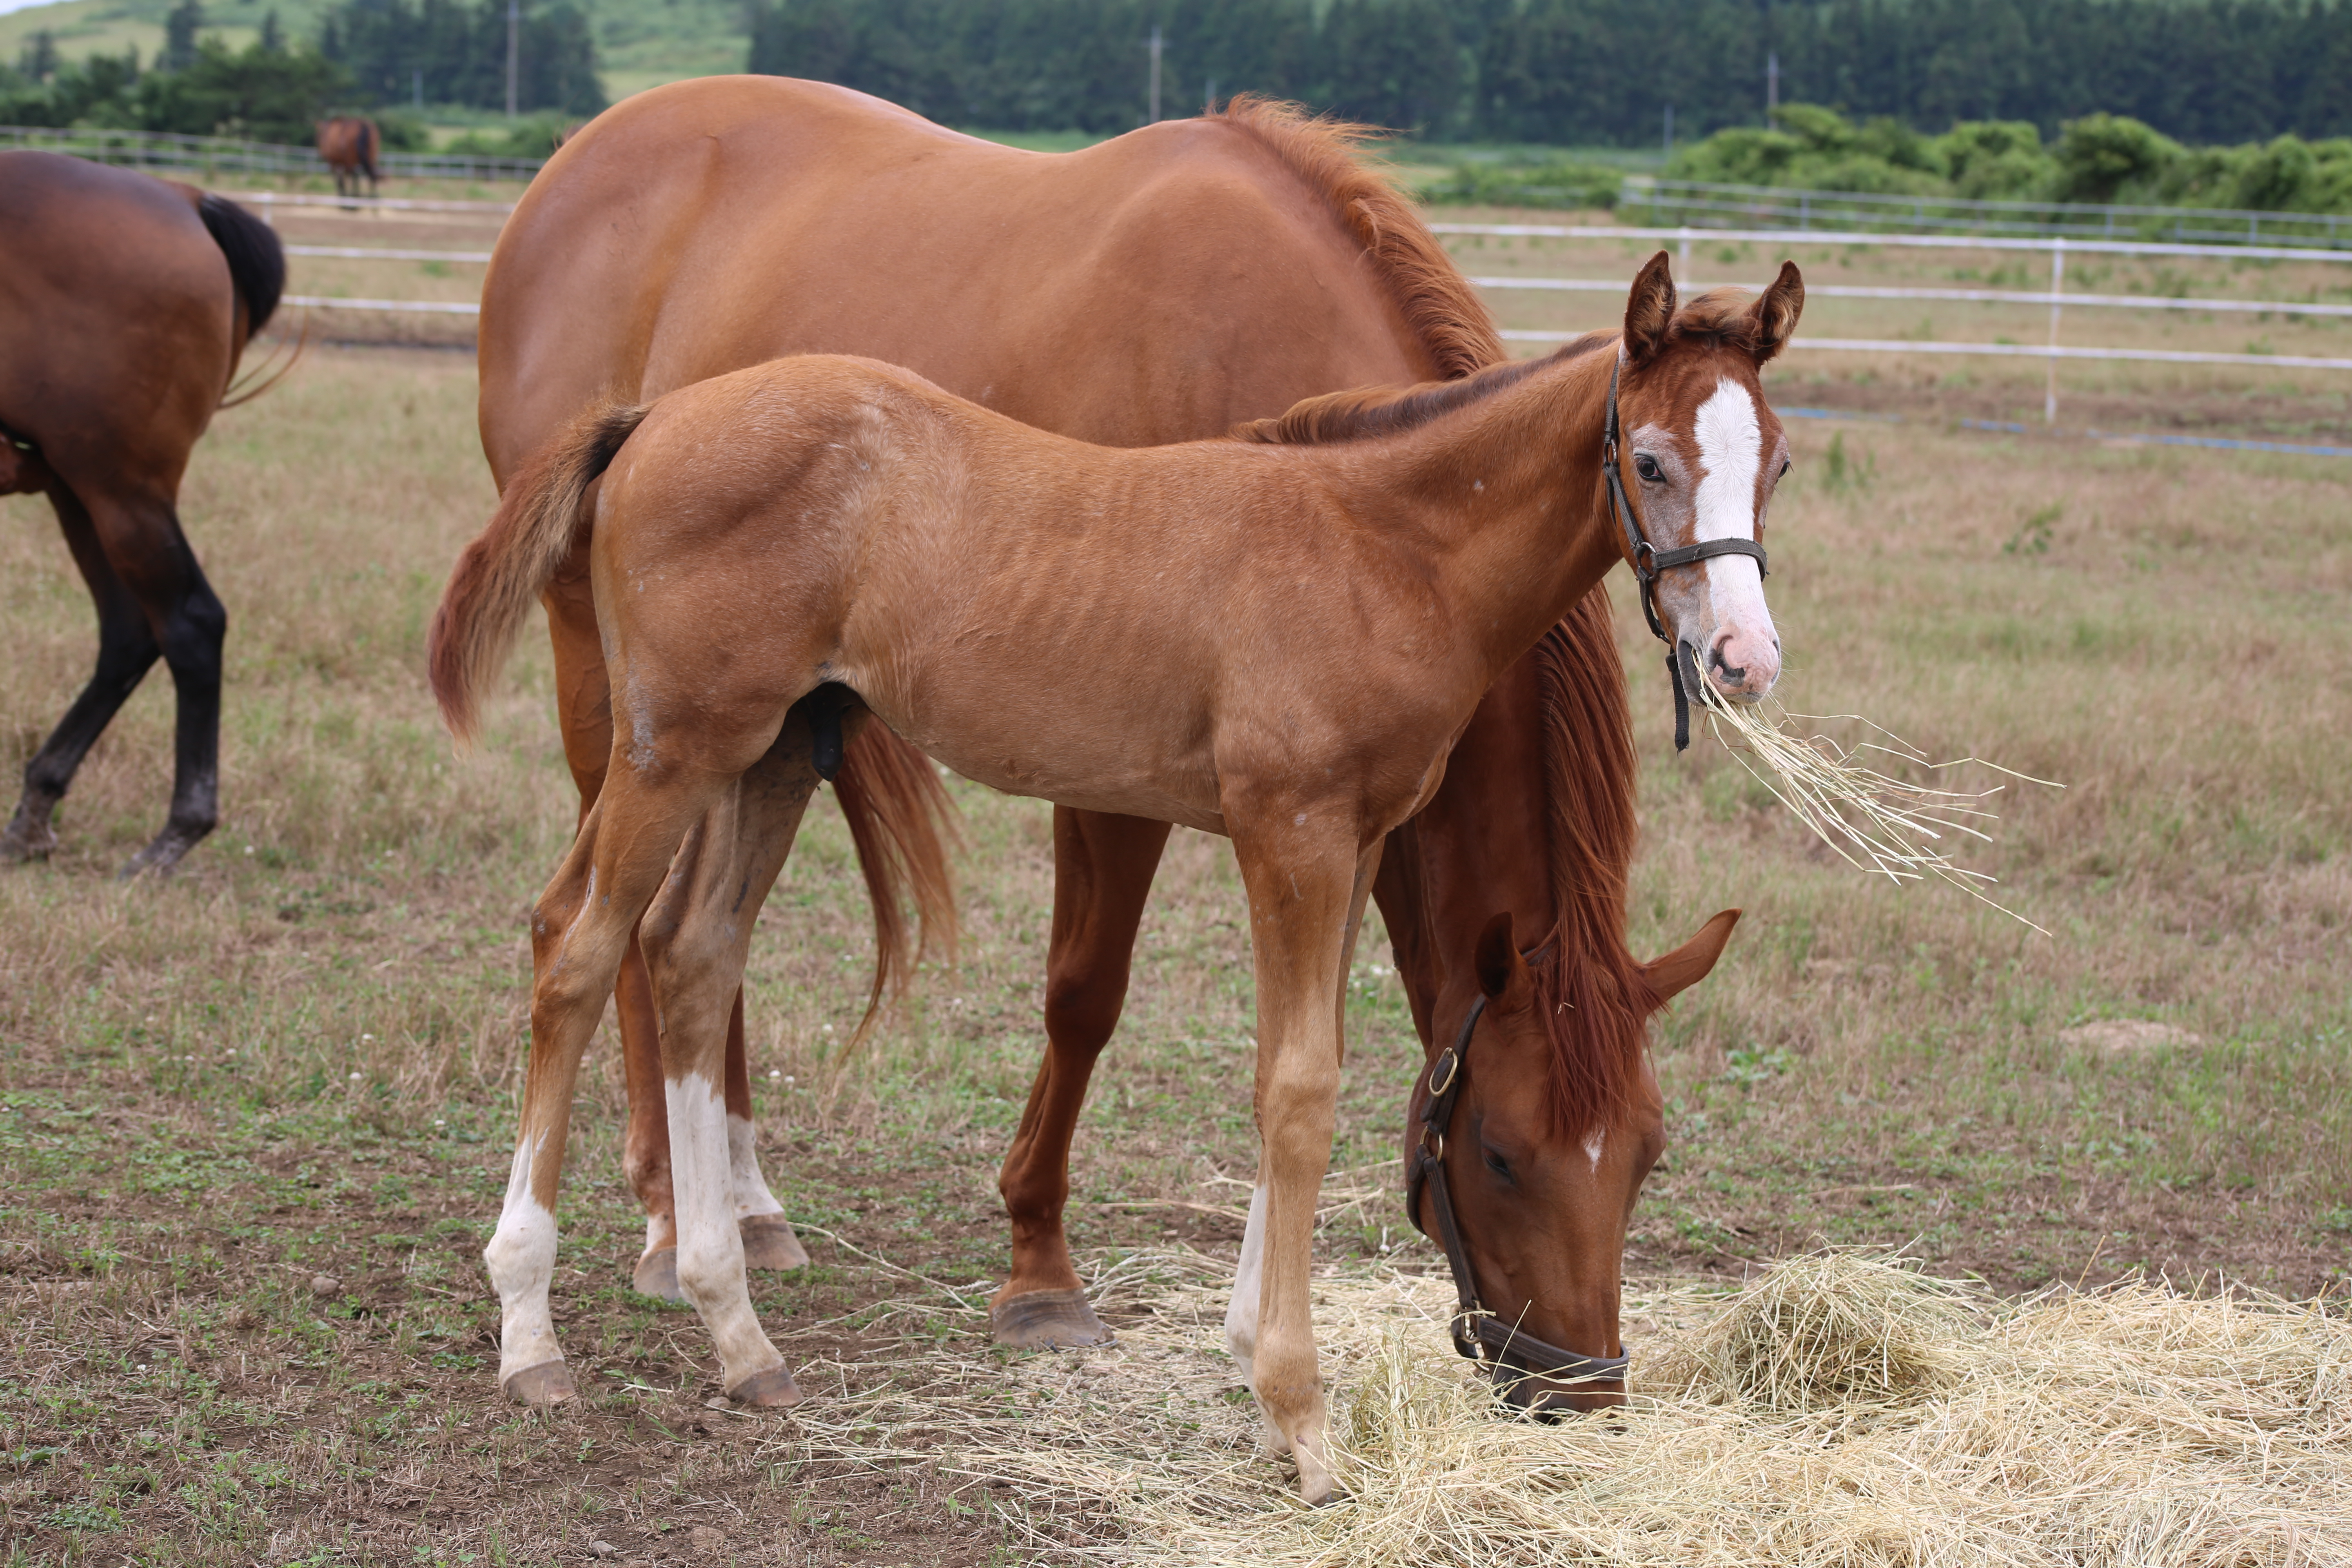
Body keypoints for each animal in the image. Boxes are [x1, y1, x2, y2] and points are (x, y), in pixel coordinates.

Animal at [0, 153, 287, 879]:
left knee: (189, 623)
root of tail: (184, 199)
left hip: (120, 491)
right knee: (130, 632)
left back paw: (177, 833)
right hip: (80, 490)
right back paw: (35, 809)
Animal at [315, 118, 379, 200]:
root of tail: (362, 125)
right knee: (371, 173)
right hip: (371, 157)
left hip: (350, 159)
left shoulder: (334, 162)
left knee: (353, 174)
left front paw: (343, 194)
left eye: (319, 136)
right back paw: (372, 196)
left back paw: (353, 196)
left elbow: (339, 179)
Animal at [468, 80, 1740, 1420]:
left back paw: (743, 1225)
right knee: (593, 938)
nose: (1579, 1390)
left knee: (689, 944)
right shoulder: (1125, 784)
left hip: (767, 741)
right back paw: (638, 1243)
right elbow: (1087, 997)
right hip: (624, 711)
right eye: (1500, 1152)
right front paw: (1043, 1273)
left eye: (1648, 1153)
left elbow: (1296, 1048)